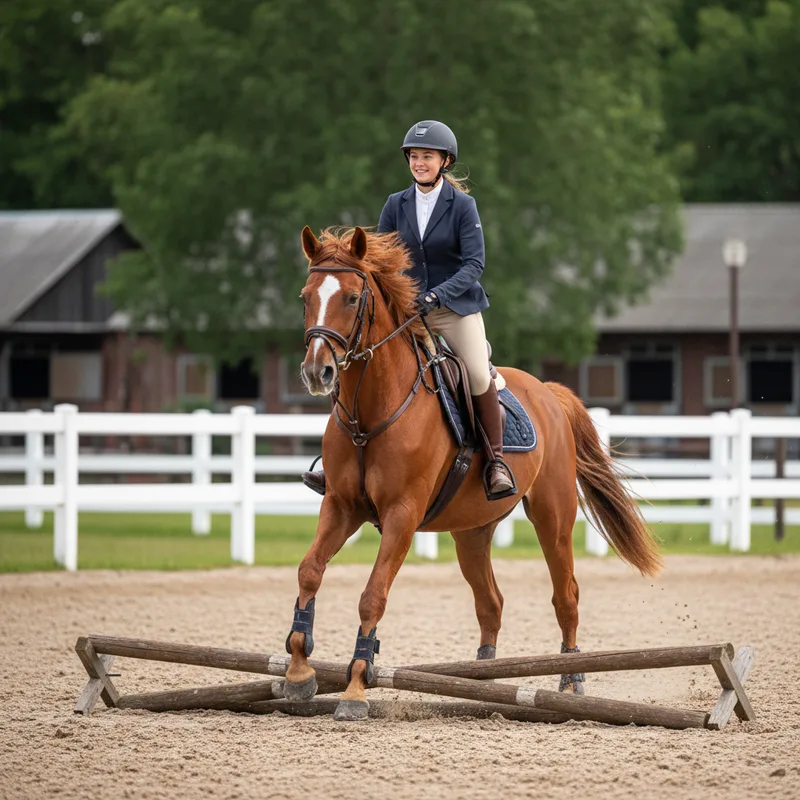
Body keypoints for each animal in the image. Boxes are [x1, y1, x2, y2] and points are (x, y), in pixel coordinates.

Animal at [285, 225, 661, 721]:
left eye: (350, 298)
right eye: (306, 297)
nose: (317, 372)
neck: (372, 410)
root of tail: (548, 392)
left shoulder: (402, 516)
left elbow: (373, 595)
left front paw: (355, 690)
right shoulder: (341, 506)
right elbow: (309, 571)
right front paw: (298, 672)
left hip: (553, 518)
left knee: (566, 595)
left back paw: (571, 681)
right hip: (471, 531)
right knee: (491, 603)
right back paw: (481, 680)